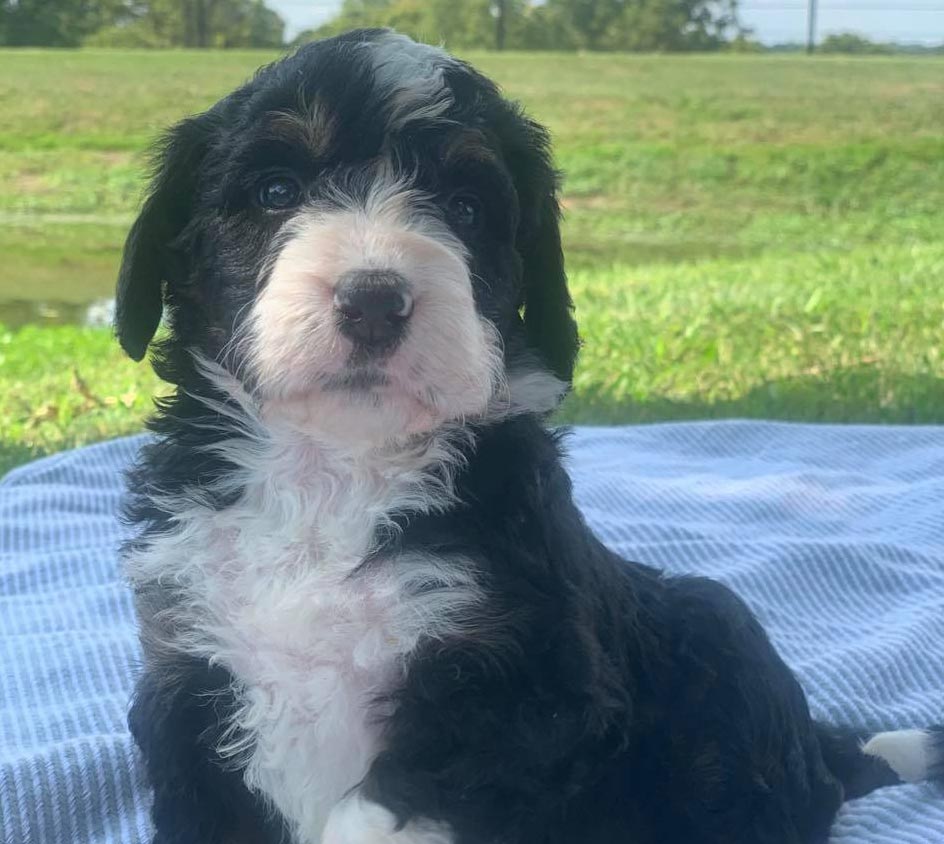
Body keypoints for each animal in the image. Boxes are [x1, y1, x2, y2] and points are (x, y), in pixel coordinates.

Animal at [120, 29, 944, 844]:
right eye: (276, 191)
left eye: (465, 207)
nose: (376, 301)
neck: (336, 473)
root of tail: (821, 748)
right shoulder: (187, 675)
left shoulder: (527, 692)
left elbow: (378, 806)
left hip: (719, 638)